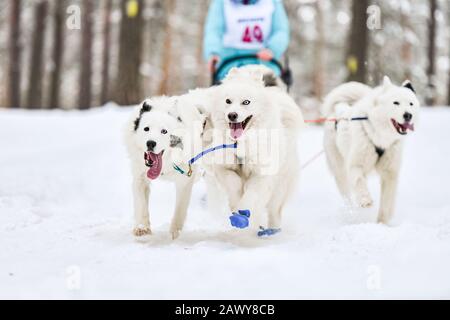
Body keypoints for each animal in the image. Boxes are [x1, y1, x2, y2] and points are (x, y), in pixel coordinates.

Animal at [123, 94, 207, 239]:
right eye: (146, 129)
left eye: (164, 131)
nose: (150, 143)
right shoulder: (140, 178)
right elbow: (141, 205)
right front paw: (142, 228)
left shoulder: (184, 182)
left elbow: (180, 209)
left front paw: (175, 232)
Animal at [206, 67, 304, 232]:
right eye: (228, 101)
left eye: (246, 102)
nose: (232, 115)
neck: (241, 144)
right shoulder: (223, 167)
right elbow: (234, 183)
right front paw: (236, 201)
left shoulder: (261, 175)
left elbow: (251, 196)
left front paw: (243, 213)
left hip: (279, 190)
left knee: (274, 212)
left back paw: (272, 230)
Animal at [322, 76, 420, 224]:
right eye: (396, 103)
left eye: (411, 104)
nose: (408, 115)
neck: (380, 138)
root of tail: (337, 111)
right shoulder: (355, 165)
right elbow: (359, 181)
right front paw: (365, 200)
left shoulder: (390, 173)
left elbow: (386, 201)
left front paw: (382, 222)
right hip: (340, 171)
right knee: (347, 194)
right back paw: (352, 213)